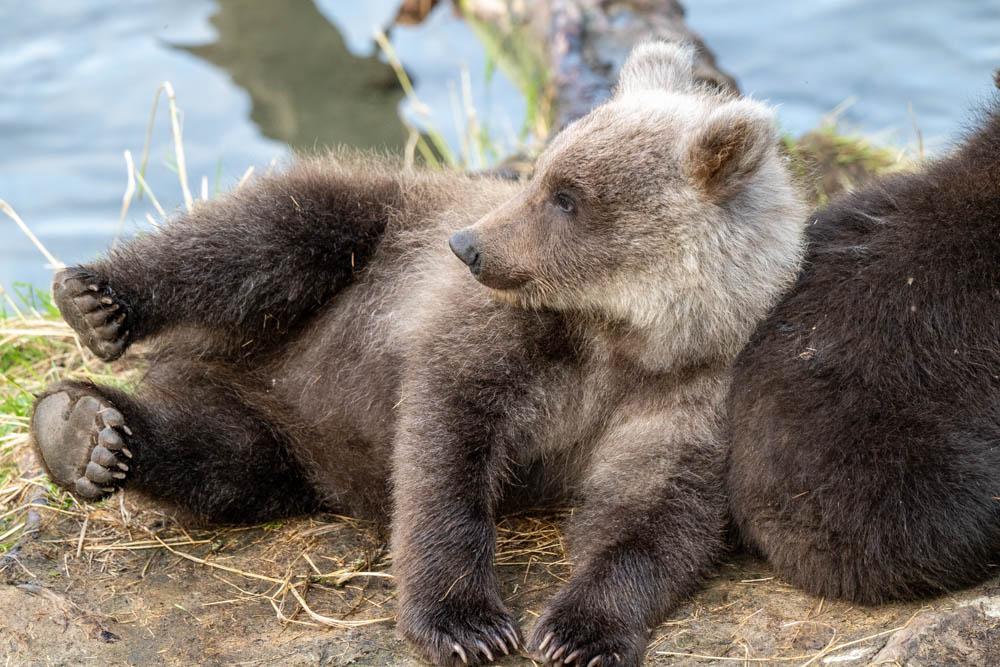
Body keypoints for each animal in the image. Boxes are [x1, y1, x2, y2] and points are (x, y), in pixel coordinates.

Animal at [30, 43, 805, 666]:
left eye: (567, 196)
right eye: (543, 171)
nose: (469, 245)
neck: (623, 334)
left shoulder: (697, 392)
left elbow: (656, 508)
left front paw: (579, 631)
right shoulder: (505, 332)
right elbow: (447, 437)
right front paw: (466, 623)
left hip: (276, 437)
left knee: (225, 457)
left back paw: (90, 435)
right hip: (358, 240)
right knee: (266, 232)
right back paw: (97, 308)